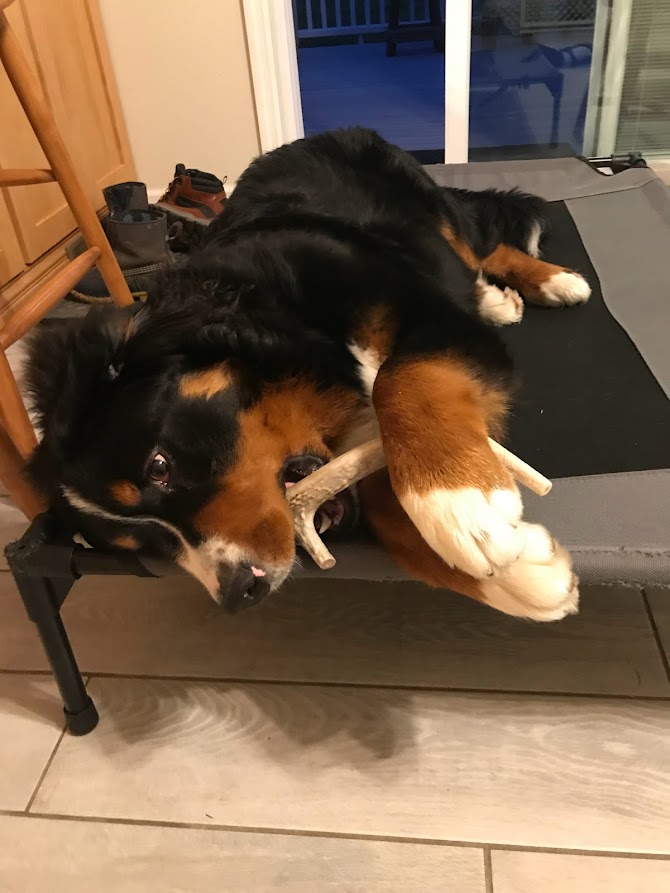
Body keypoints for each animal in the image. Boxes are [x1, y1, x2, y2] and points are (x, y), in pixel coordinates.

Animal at [26, 129, 592, 620]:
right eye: (146, 543)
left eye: (159, 467)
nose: (238, 592)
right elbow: (388, 516)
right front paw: (525, 576)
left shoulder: (434, 316)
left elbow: (400, 379)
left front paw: (463, 507)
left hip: (432, 215)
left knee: (479, 243)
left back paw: (544, 284)